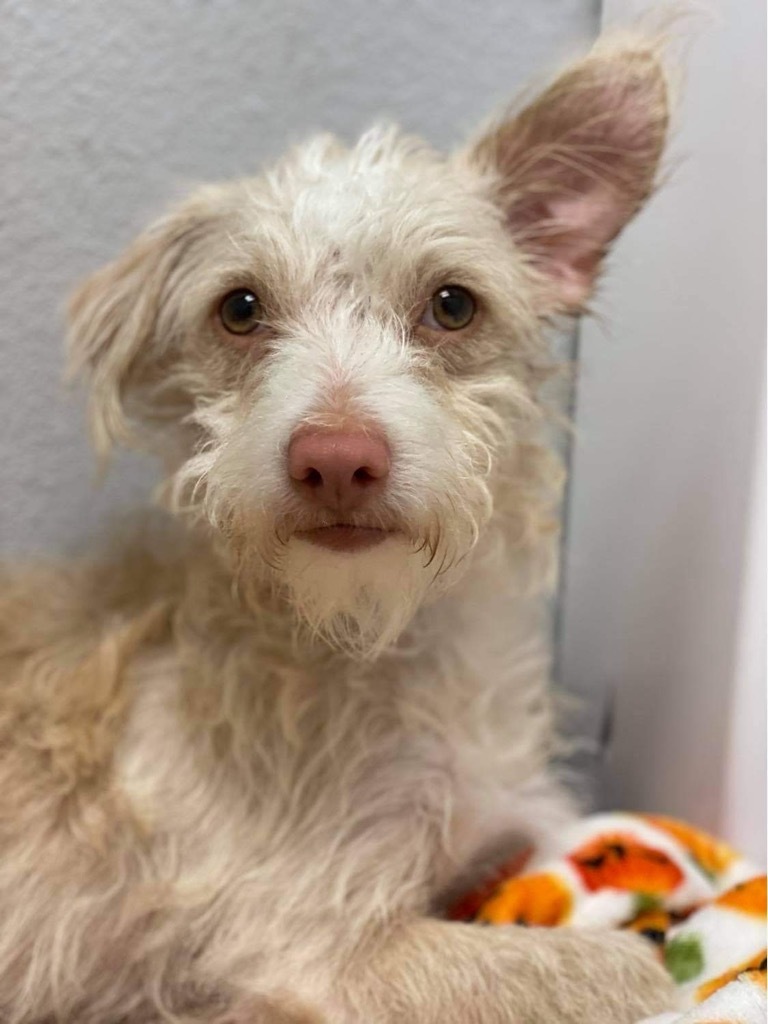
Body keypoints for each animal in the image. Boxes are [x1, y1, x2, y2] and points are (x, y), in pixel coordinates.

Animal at [3, 32, 679, 1024]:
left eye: (453, 304)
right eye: (240, 309)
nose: (333, 460)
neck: (381, 638)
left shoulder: (501, 835)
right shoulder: (315, 958)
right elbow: (634, 968)